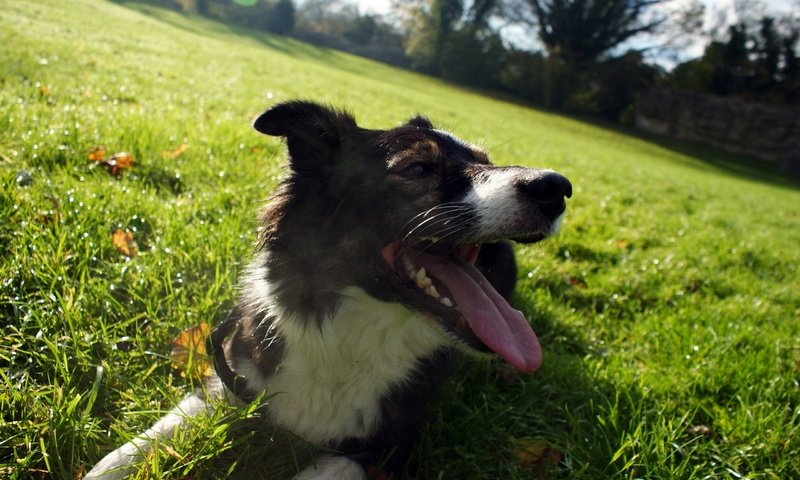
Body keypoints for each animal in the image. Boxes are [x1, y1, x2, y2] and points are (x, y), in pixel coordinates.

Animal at [87, 99, 572, 478]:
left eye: (486, 161)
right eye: (419, 168)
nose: (558, 188)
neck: (351, 330)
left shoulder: (389, 445)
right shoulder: (235, 373)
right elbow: (156, 432)